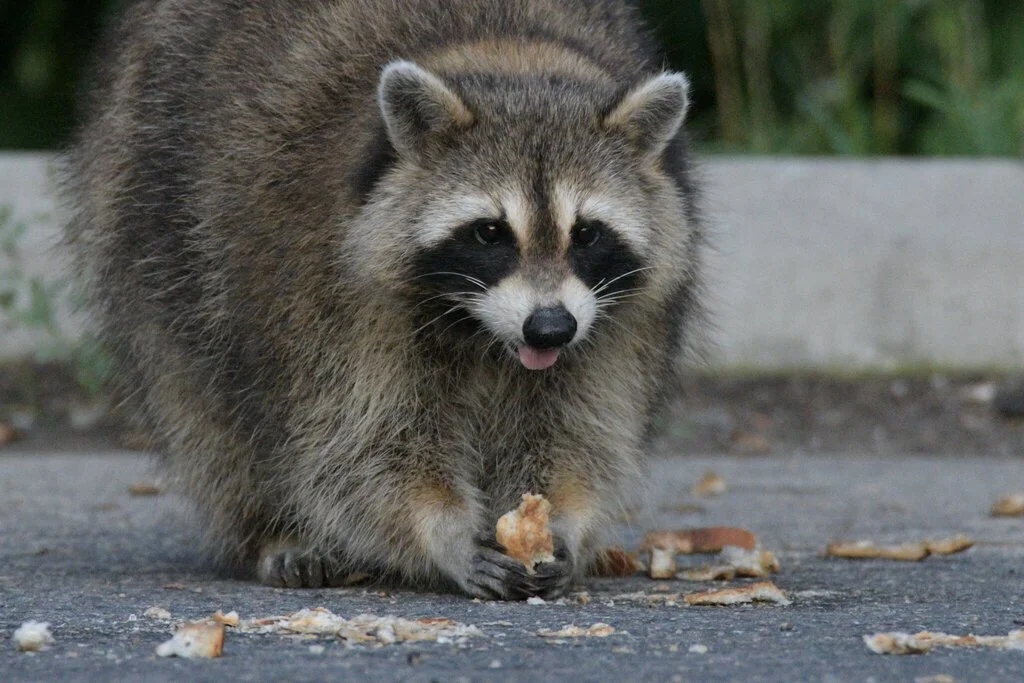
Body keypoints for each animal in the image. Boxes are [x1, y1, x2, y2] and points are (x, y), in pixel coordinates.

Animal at [64, 0, 705, 600]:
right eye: (490, 233)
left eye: (587, 233)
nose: (548, 329)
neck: (509, 58)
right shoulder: (330, 296)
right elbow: (364, 444)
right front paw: (442, 531)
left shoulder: (619, 320)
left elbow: (580, 427)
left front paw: (561, 521)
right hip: (153, 232)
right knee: (206, 408)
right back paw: (271, 528)